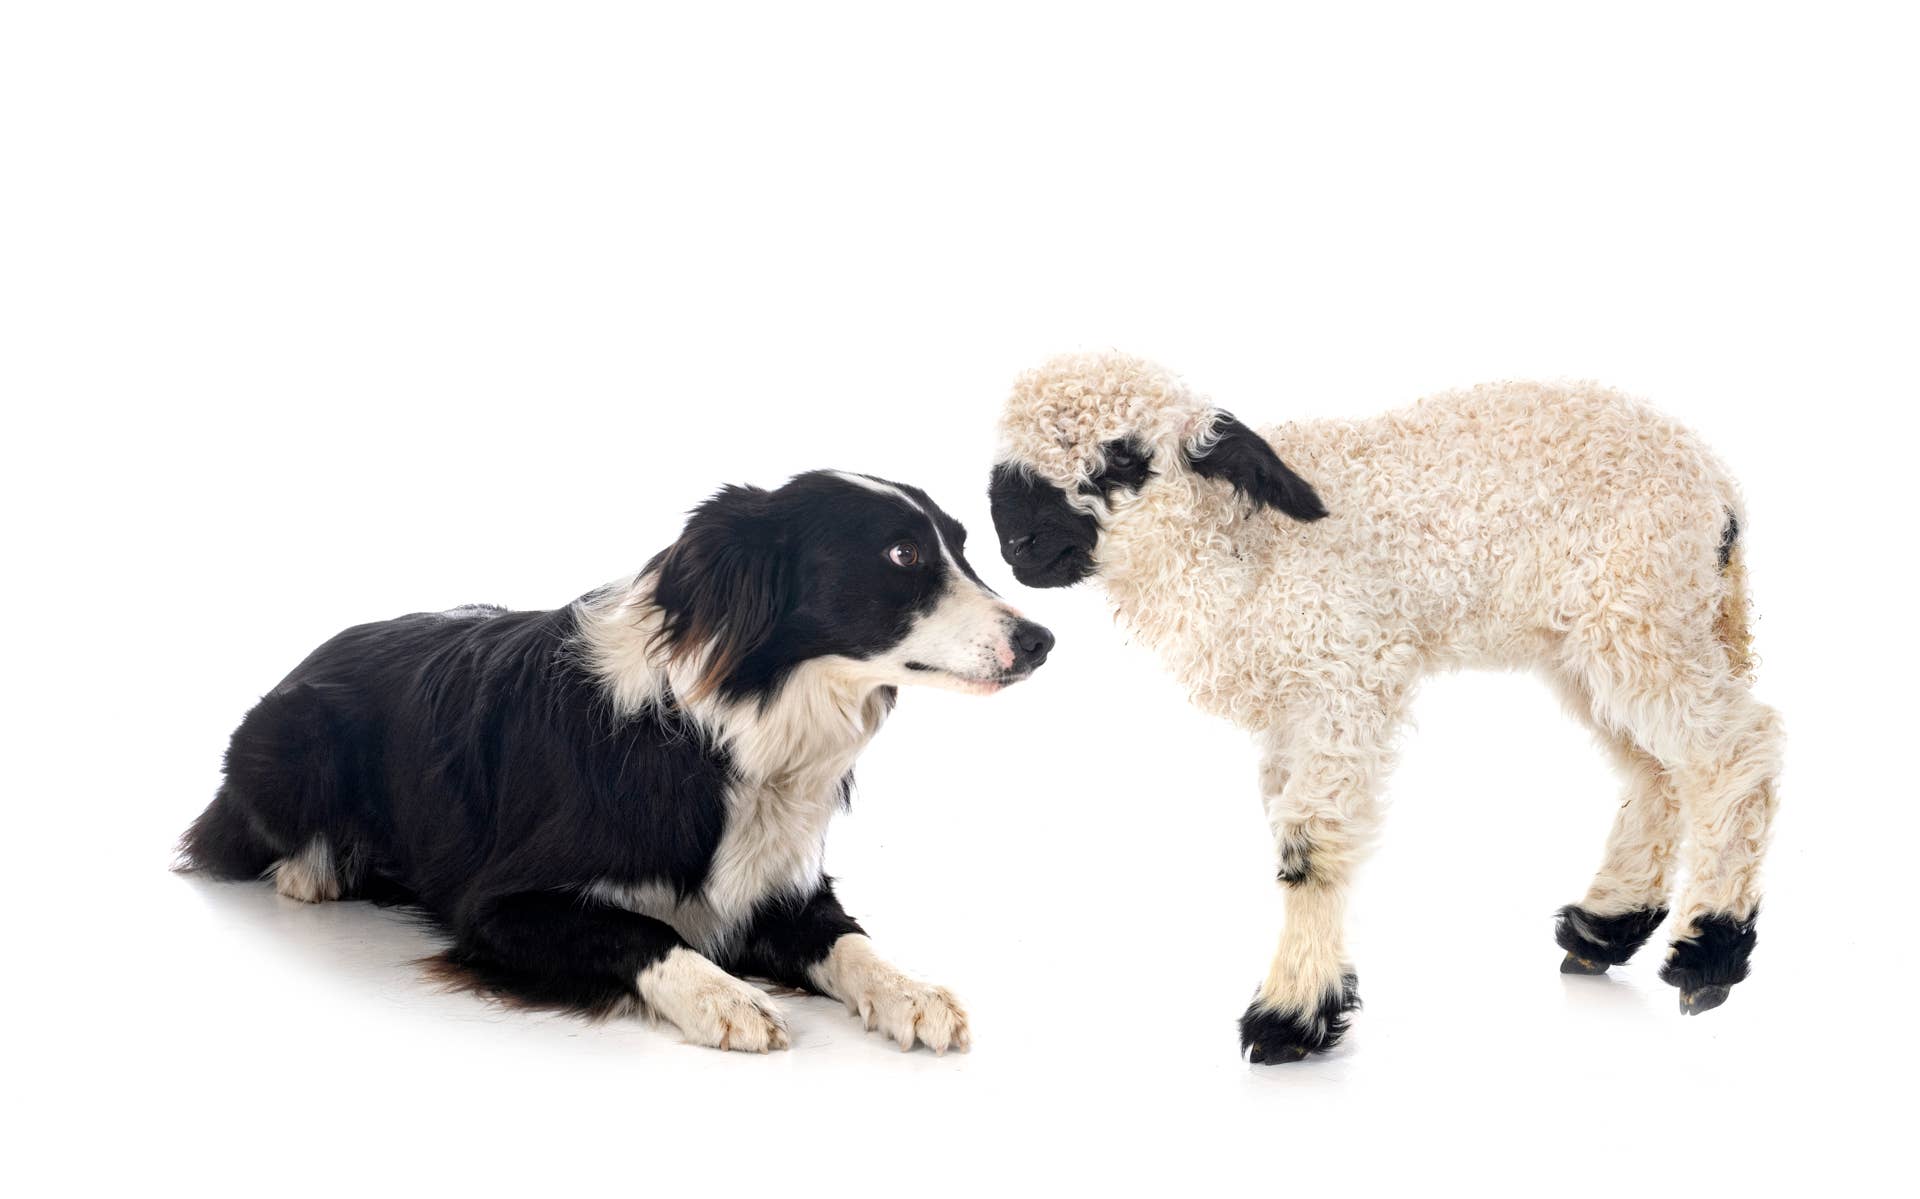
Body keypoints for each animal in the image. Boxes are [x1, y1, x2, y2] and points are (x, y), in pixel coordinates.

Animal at [986, 351, 1780, 1062]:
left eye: (1121, 459)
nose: (1015, 542)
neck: (1247, 548)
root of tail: (1720, 490)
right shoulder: (1294, 713)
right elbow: (1292, 829)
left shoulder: (1346, 677)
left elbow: (1310, 844)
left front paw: (1290, 1016)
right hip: (1594, 641)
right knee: (1658, 769)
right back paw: (1606, 926)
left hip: (1641, 609)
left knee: (1735, 749)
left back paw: (1708, 950)